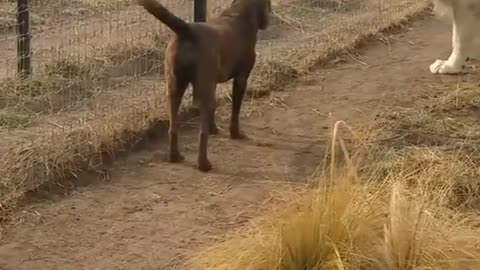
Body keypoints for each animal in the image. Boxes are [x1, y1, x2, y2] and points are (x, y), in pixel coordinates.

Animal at [139, 0, 272, 172]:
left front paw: (213, 128)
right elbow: (235, 111)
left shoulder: (212, 84)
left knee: (173, 127)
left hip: (174, 87)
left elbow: (213, 111)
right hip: (201, 89)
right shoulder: (241, 79)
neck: (239, 14)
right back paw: (204, 164)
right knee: (202, 134)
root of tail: (187, 31)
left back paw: (174, 156)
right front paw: (235, 133)